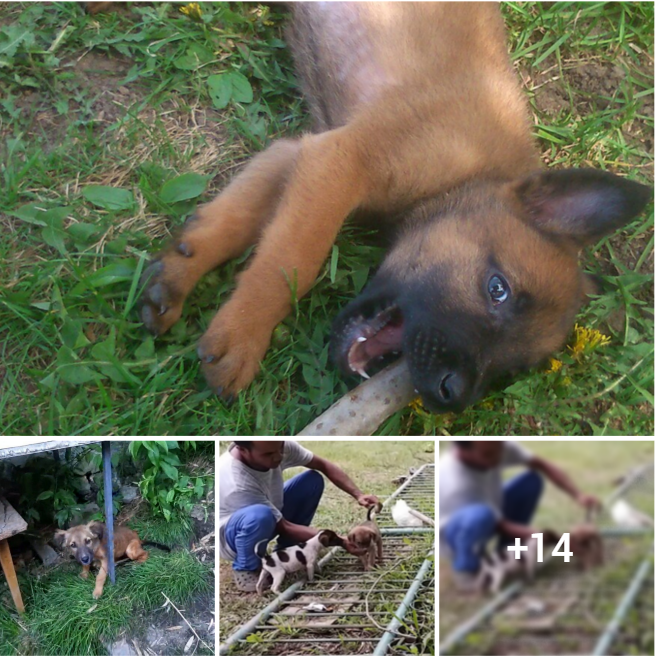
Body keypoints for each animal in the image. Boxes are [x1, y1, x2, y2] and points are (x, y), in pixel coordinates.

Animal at [140, 2, 652, 410]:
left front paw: (180, 270)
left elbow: (236, 218)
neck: (469, 174)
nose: (451, 396)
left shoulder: (301, 153)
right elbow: (291, 262)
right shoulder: (342, 160)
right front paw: (243, 338)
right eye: (497, 289)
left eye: (512, 367)